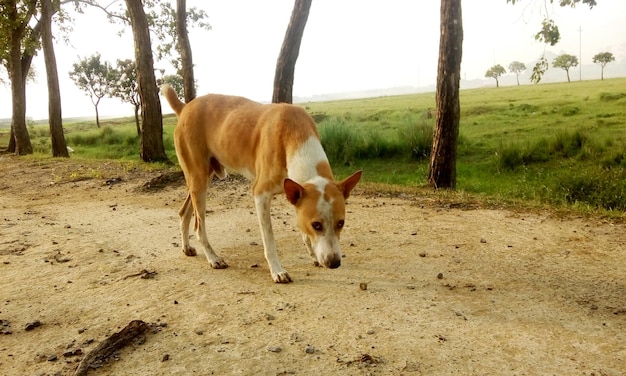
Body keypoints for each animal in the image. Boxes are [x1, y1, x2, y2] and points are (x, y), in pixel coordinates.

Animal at [160, 84, 360, 282]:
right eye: (316, 225)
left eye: (341, 223)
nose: (334, 263)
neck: (296, 135)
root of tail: (185, 107)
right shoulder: (261, 194)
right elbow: (269, 239)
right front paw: (277, 271)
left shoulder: (296, 196)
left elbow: (303, 231)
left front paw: (312, 254)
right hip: (199, 180)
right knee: (198, 226)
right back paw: (213, 258)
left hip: (201, 179)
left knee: (184, 212)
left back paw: (187, 247)